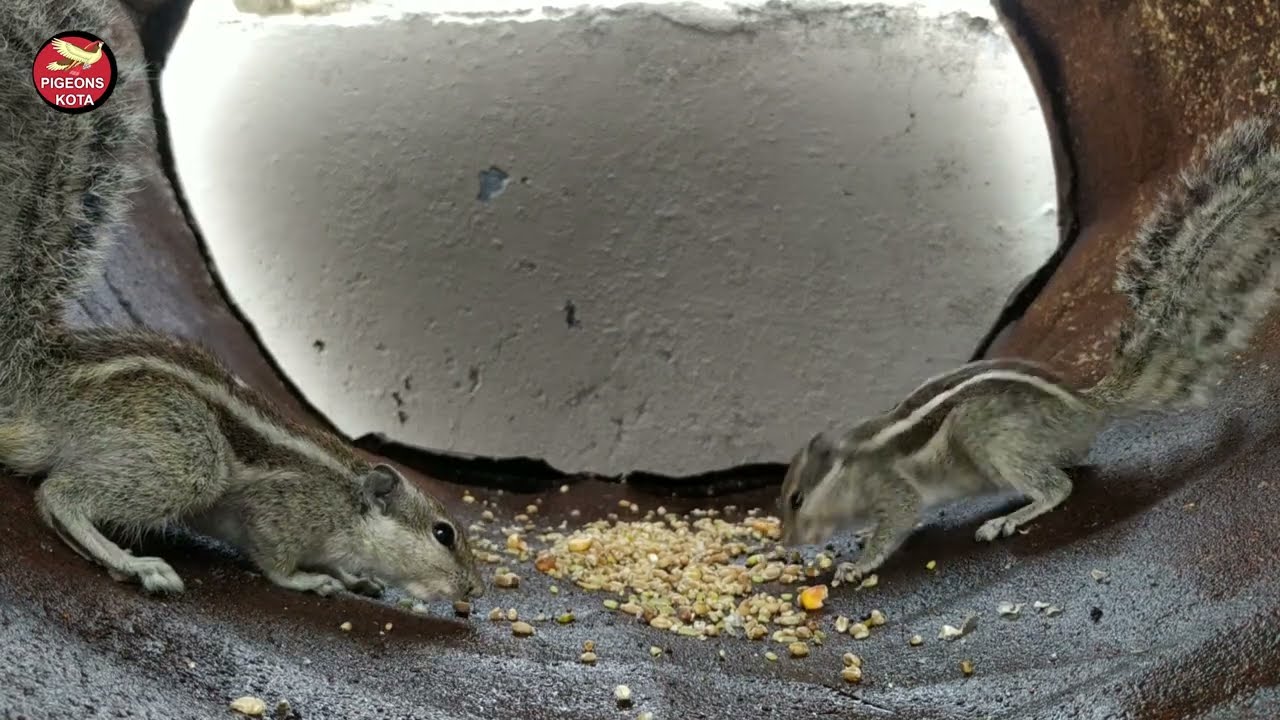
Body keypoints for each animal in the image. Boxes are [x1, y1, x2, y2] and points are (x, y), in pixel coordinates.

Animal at [0, 0, 484, 601]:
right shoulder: (284, 510)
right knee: (58, 495)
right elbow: (274, 560)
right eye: (443, 534)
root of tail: (35, 379)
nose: (473, 590)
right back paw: (137, 563)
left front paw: (355, 576)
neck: (347, 495)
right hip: (186, 458)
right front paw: (313, 579)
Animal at [778, 114, 1280, 585]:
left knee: (1057, 487)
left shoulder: (893, 489)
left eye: (796, 498)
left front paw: (857, 564)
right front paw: (860, 535)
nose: (787, 543)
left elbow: (897, 524)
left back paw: (1008, 518)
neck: (854, 461)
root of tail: (1085, 405)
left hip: (993, 440)